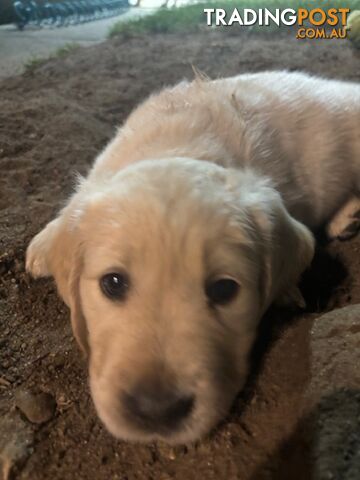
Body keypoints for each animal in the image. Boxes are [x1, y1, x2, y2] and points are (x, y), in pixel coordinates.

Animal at [26, 70, 360, 442]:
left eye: (225, 289)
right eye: (112, 283)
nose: (157, 411)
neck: (179, 143)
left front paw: (287, 290)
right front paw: (42, 245)